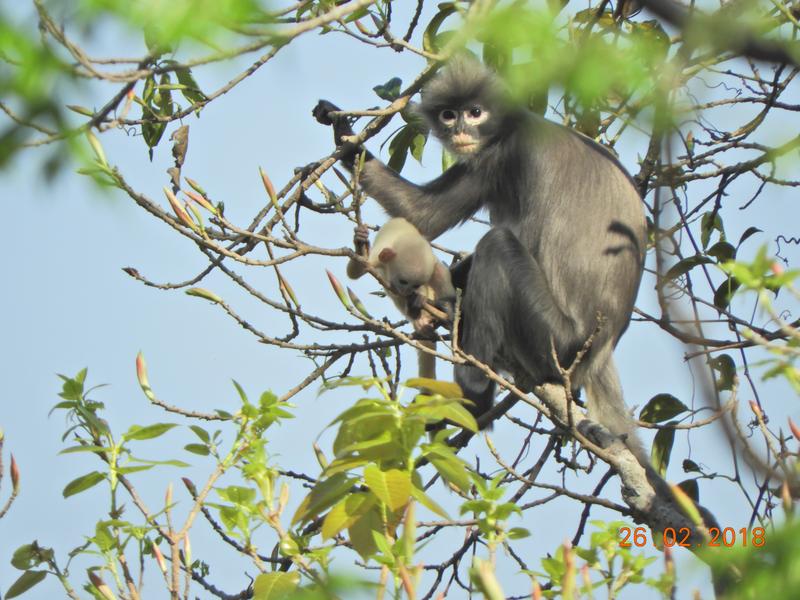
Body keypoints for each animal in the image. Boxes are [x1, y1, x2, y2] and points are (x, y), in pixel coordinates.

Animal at [346, 218, 454, 378]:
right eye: (403, 281)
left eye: (415, 284)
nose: (407, 290)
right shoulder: (378, 257)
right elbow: (354, 271)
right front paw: (360, 241)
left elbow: (440, 273)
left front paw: (445, 307)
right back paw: (417, 315)